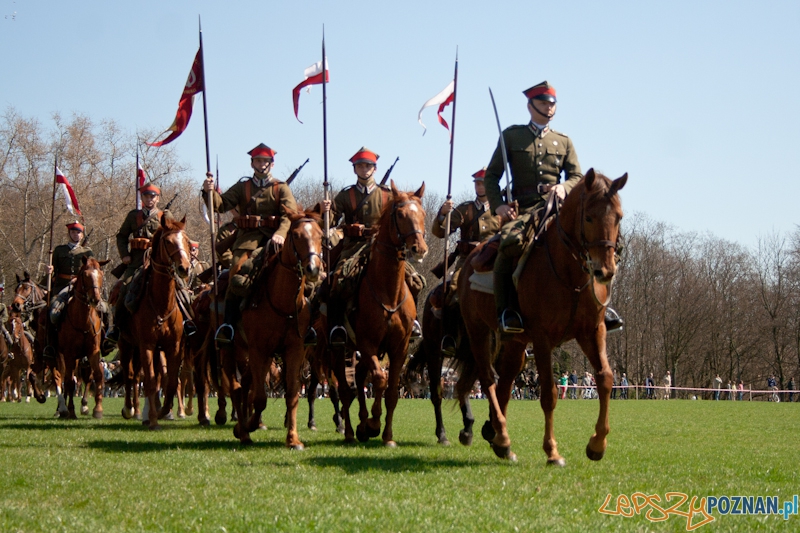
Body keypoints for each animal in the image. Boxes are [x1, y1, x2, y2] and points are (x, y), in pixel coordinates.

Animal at [55, 256, 109, 418]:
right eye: (85, 275)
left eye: (101, 275)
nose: (95, 299)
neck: (83, 320)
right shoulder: (69, 354)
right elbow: (69, 382)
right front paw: (71, 410)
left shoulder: (93, 352)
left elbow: (97, 375)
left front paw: (97, 409)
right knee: (62, 378)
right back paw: (61, 409)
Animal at [117, 215, 191, 428]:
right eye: (168, 241)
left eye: (186, 240)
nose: (184, 268)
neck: (161, 303)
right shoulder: (147, 345)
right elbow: (149, 381)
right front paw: (153, 420)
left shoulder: (173, 346)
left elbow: (171, 382)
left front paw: (163, 411)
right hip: (126, 344)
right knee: (130, 376)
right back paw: (130, 410)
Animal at [227, 206, 324, 446]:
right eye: (296, 235)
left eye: (320, 236)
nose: (313, 269)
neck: (282, 302)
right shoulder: (258, 349)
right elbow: (260, 397)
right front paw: (250, 426)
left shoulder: (294, 350)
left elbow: (292, 394)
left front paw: (293, 439)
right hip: (237, 352)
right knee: (239, 389)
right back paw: (243, 430)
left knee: (246, 387)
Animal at [332, 182, 428, 444]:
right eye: (401, 215)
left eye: (423, 214)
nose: (420, 248)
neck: (388, 291)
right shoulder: (368, 344)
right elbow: (379, 379)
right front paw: (373, 424)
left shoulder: (400, 348)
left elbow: (392, 390)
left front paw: (387, 436)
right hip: (336, 349)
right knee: (346, 388)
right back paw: (352, 431)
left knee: (358, 379)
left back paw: (361, 425)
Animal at [456, 169, 624, 462]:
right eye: (589, 217)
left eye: (619, 217)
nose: (605, 271)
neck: (570, 273)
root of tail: (470, 260)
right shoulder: (543, 339)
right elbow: (548, 394)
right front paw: (552, 451)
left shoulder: (593, 331)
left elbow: (605, 378)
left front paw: (597, 444)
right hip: (478, 331)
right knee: (489, 379)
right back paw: (501, 435)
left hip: (515, 342)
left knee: (504, 384)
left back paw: (499, 439)